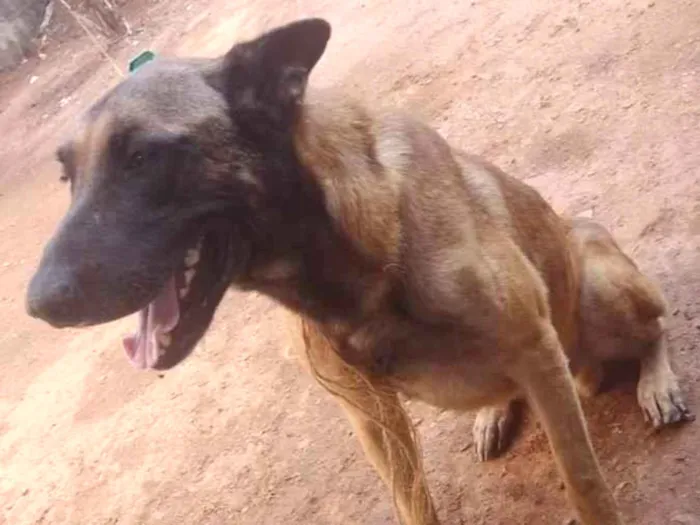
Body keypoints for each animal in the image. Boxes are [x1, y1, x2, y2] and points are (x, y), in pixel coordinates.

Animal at [26, 18, 688, 520]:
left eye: (142, 156)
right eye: (67, 175)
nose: (38, 305)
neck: (350, 261)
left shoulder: (535, 351)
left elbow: (585, 484)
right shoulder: (371, 415)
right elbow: (413, 506)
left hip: (598, 293)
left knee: (655, 327)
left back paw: (656, 383)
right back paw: (494, 412)